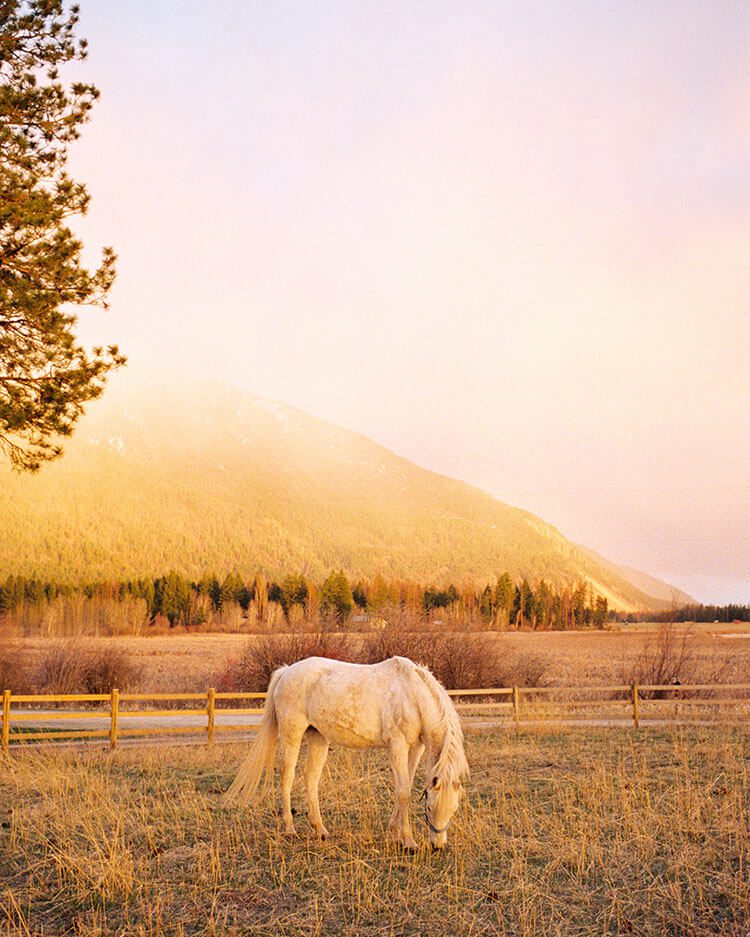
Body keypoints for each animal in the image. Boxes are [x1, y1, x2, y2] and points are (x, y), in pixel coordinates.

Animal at [223, 660, 470, 848]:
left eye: (454, 809)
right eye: (429, 807)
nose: (437, 846)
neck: (413, 695)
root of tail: (286, 671)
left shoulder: (416, 748)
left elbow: (405, 786)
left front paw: (393, 830)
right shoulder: (398, 746)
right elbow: (403, 793)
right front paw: (408, 841)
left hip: (318, 738)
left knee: (311, 778)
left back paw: (320, 829)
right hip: (292, 733)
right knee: (287, 776)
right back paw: (290, 828)